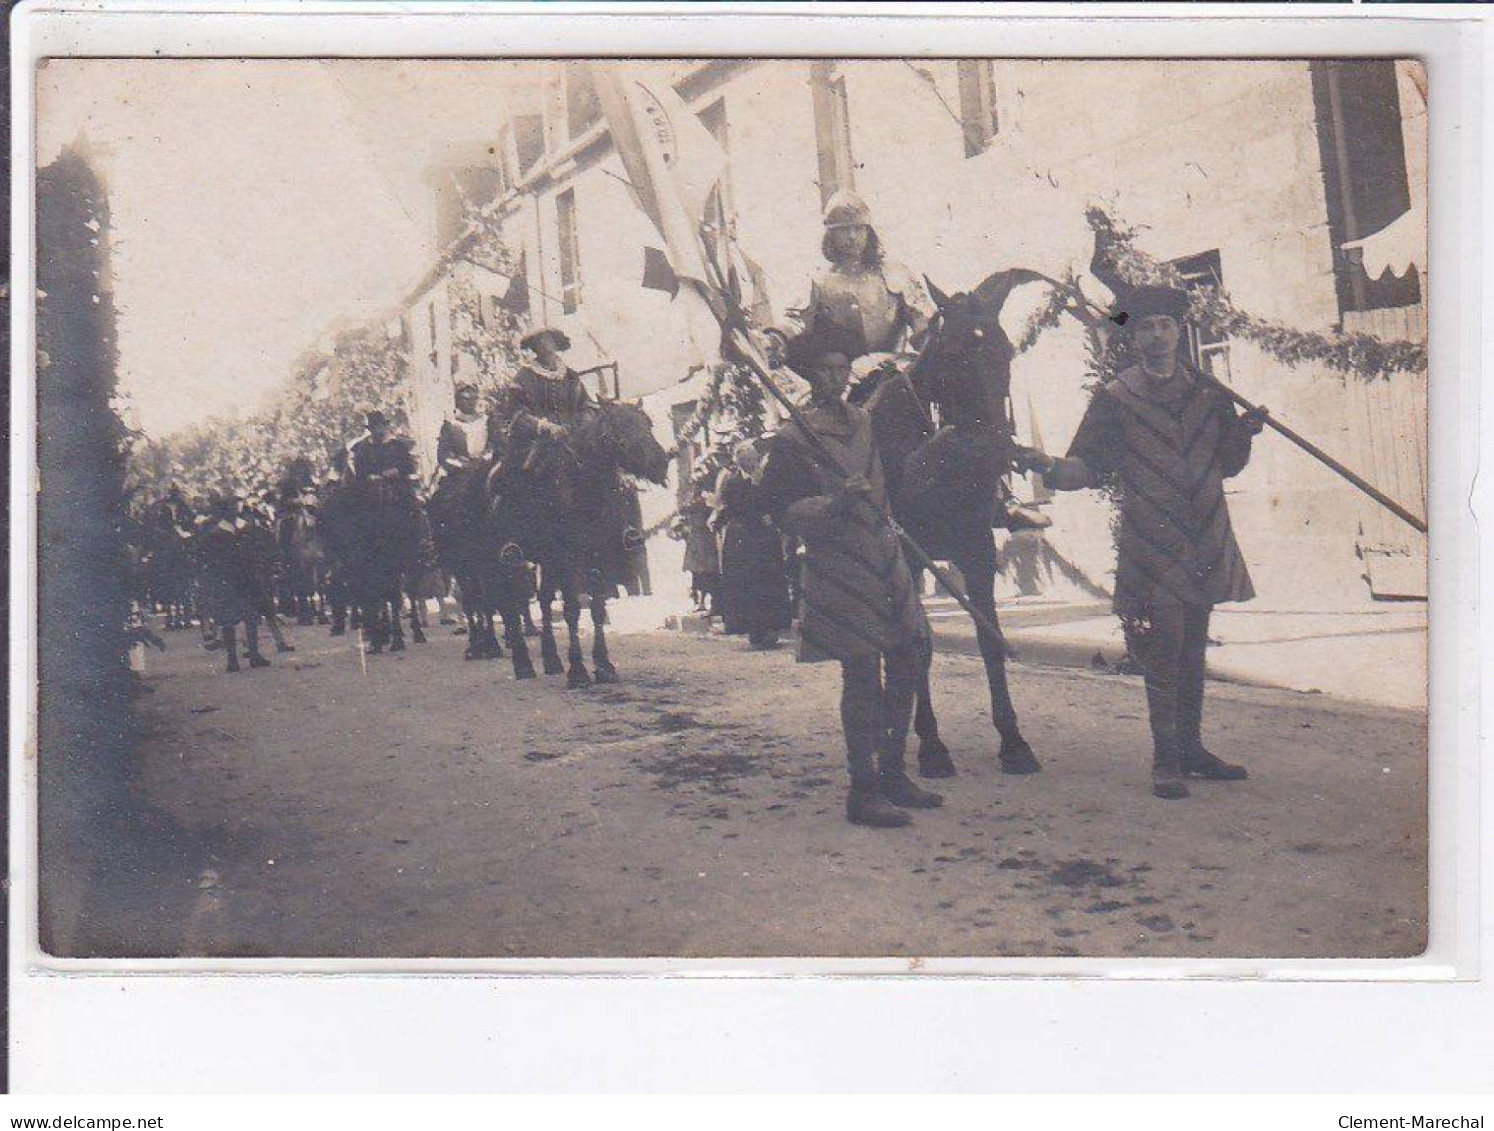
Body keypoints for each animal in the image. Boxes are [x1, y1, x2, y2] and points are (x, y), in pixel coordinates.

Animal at [496, 406, 672, 687]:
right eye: (616, 431)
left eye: (648, 424)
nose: (660, 462)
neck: (584, 494)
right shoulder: (570, 561)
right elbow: (573, 610)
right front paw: (578, 671)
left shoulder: (598, 560)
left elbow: (597, 609)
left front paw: (603, 665)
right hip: (510, 562)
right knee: (511, 604)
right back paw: (523, 664)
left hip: (548, 563)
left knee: (544, 600)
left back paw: (551, 660)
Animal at [854, 267, 1051, 776]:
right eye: (953, 353)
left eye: (1005, 351)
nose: (997, 450)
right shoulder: (908, 559)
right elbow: (919, 644)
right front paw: (931, 745)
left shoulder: (976, 550)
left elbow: (990, 639)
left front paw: (1013, 741)